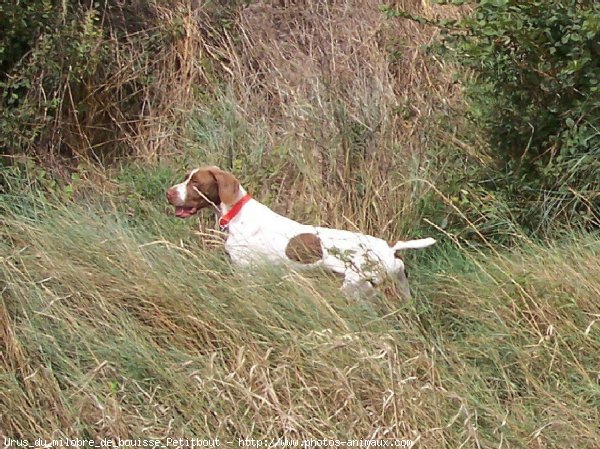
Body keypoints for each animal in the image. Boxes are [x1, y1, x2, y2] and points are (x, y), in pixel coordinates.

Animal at [166, 166, 434, 296]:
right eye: (186, 177)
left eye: (195, 182)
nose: (168, 193)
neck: (237, 213)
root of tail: (390, 247)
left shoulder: (246, 271)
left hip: (355, 289)